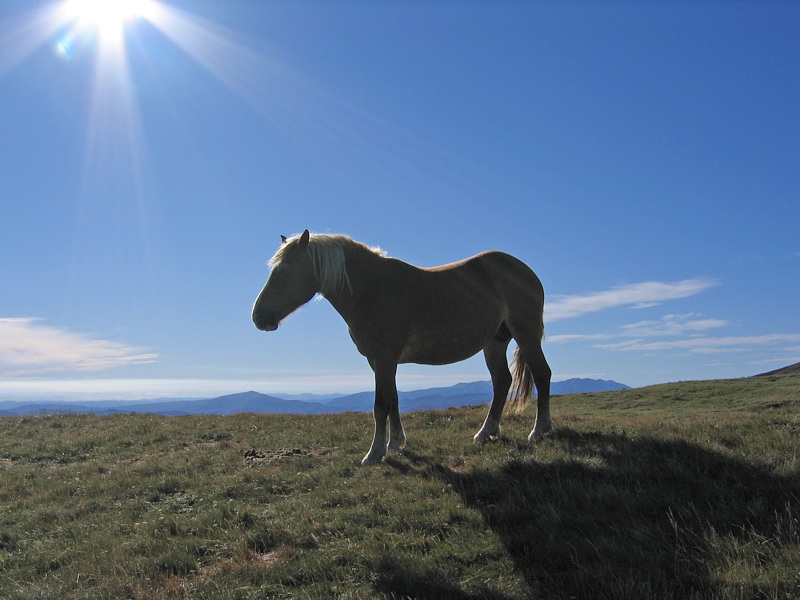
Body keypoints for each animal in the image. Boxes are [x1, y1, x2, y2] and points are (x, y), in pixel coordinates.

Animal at [252, 230, 552, 465]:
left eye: (284, 270)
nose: (258, 317)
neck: (369, 289)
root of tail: (528, 272)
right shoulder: (380, 361)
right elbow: (393, 399)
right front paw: (395, 443)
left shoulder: (385, 358)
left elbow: (380, 405)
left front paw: (374, 453)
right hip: (494, 342)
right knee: (502, 382)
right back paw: (486, 432)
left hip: (526, 335)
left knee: (541, 374)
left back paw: (539, 431)